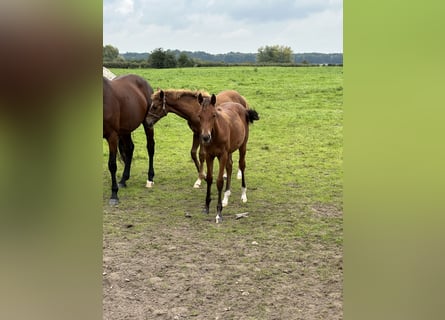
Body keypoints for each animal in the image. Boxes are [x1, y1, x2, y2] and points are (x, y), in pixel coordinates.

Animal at [103, 74, 155, 205]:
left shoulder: (112, 136)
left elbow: (112, 165)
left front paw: (114, 194)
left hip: (148, 124)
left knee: (150, 147)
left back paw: (150, 177)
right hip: (125, 130)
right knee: (130, 149)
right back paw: (123, 179)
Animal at [197, 92, 256, 222]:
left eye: (213, 115)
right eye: (199, 116)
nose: (205, 137)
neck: (215, 134)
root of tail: (242, 107)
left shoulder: (222, 155)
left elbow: (219, 181)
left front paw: (219, 213)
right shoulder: (209, 155)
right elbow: (209, 179)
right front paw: (206, 207)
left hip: (242, 145)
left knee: (242, 165)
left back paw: (243, 194)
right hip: (229, 151)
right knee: (229, 166)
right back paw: (226, 197)